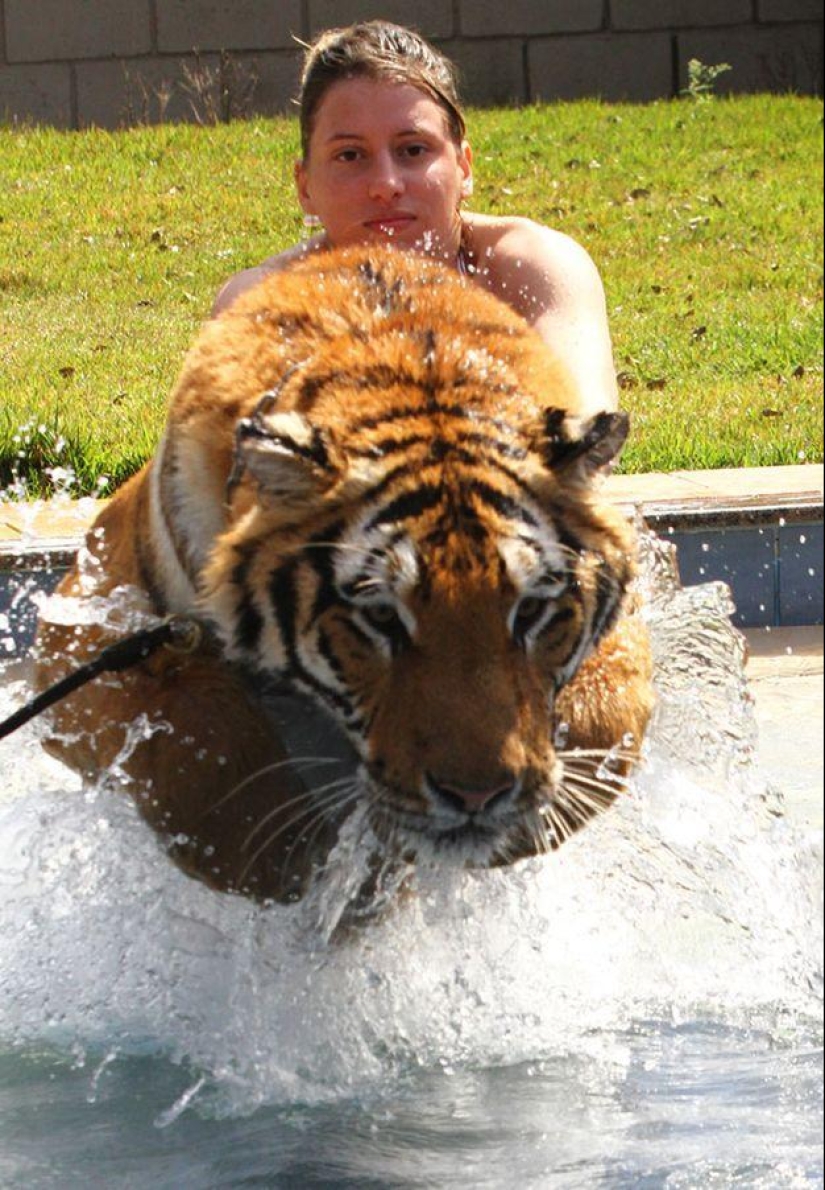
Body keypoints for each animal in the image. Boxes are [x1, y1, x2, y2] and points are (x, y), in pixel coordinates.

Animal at [34, 245, 654, 910]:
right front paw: (302, 866)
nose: (477, 796)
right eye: (381, 616)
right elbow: (203, 756)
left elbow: (605, 715)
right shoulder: (94, 627)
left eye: (532, 611)